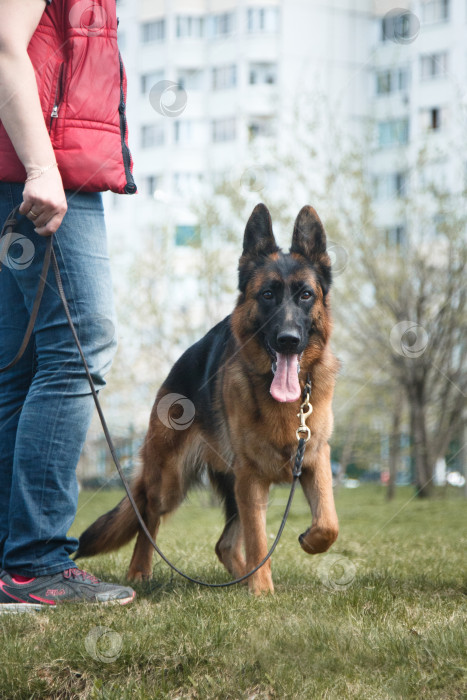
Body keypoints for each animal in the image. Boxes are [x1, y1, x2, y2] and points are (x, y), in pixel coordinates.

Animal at [77, 205, 340, 592]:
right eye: (267, 295)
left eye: (306, 295)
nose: (289, 340)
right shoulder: (252, 479)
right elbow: (259, 540)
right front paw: (263, 592)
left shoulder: (314, 459)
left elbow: (328, 525)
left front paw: (306, 543)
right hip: (171, 479)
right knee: (148, 514)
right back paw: (140, 571)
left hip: (234, 485)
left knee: (224, 544)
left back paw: (240, 579)